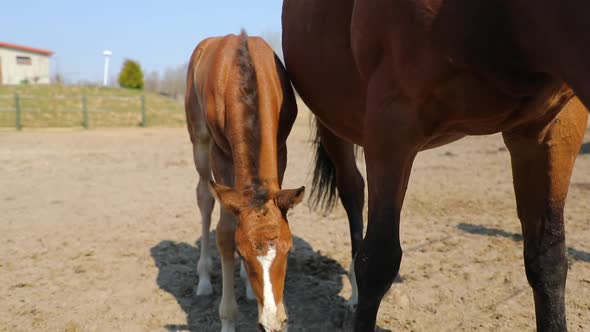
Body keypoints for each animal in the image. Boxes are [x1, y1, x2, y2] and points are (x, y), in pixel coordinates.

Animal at [185, 29, 306, 330]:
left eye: (289, 250)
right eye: (242, 252)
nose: (273, 322)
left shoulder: (280, 149)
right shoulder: (220, 154)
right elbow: (226, 232)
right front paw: (228, 318)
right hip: (199, 142)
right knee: (204, 197)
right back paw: (204, 279)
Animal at [284, 0, 588, 332]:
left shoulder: (550, 127)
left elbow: (548, 259)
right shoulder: (391, 122)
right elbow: (377, 261)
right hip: (336, 124)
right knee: (352, 191)